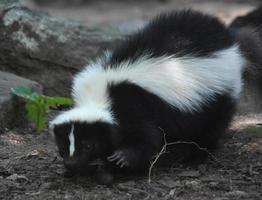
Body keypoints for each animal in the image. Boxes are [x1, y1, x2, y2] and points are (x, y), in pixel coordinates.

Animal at [49, 10, 246, 182]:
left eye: (88, 145)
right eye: (63, 145)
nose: (71, 163)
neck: (97, 96)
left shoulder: (136, 105)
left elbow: (147, 138)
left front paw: (123, 159)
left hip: (215, 99)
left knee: (209, 129)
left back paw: (196, 157)